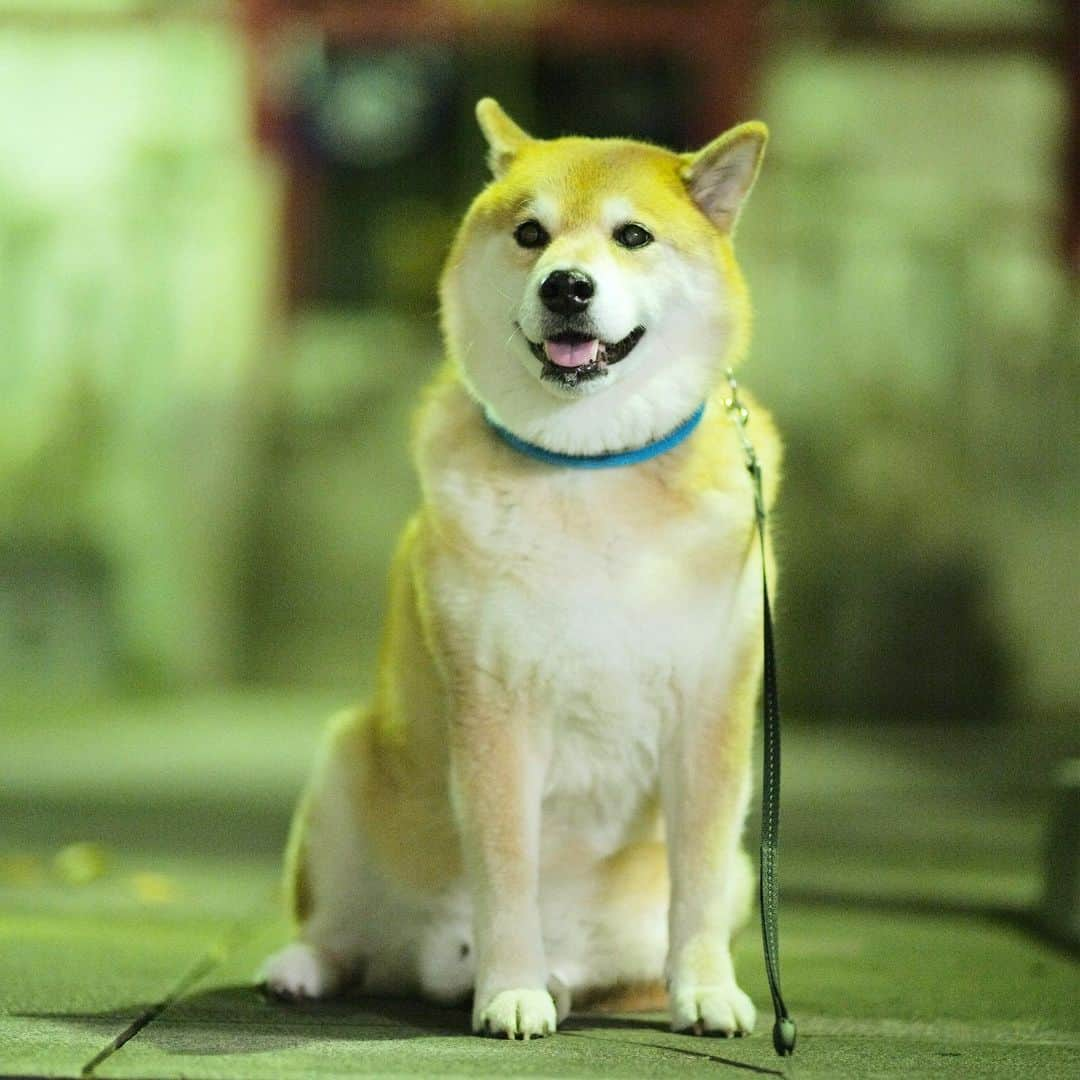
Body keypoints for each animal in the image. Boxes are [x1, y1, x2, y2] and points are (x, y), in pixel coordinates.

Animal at [264, 99, 781, 1036]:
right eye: (530, 233)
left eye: (633, 235)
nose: (566, 286)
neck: (590, 468)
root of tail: (431, 962)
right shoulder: (496, 704)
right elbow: (506, 868)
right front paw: (509, 988)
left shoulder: (711, 711)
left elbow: (691, 880)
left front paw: (707, 989)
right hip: (344, 768)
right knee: (345, 934)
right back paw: (311, 966)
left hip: (733, 874)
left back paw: (586, 983)